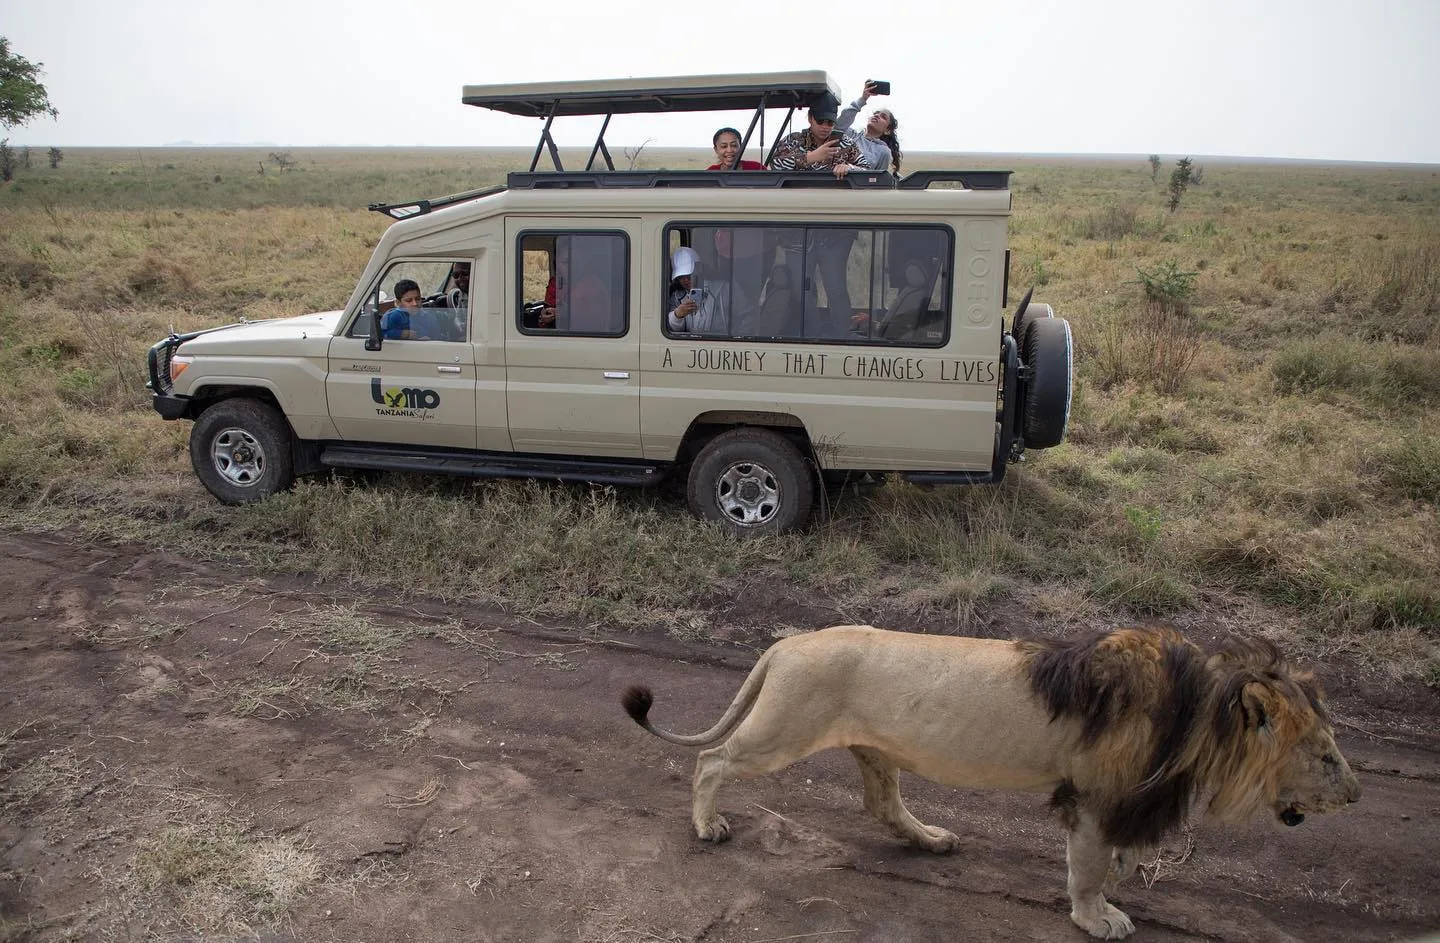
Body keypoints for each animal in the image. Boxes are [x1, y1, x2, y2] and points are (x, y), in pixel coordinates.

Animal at [621, 625, 1360, 940]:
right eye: (1327, 755)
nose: (1356, 796)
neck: (1199, 716)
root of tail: (786, 641)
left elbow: (1117, 856)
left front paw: (1124, 876)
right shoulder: (1094, 795)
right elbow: (1089, 867)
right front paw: (1098, 917)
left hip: (874, 748)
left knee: (883, 804)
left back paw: (932, 839)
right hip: (783, 729)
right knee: (713, 762)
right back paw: (707, 823)